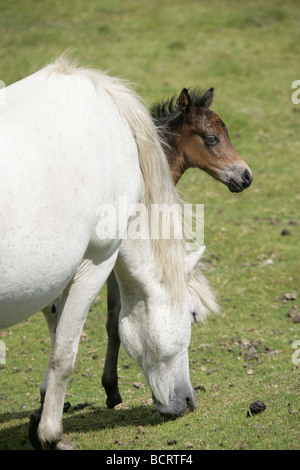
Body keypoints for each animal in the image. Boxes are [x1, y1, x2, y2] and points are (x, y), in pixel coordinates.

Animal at [0, 57, 218, 450]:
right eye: (192, 316)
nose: (188, 400)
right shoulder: (97, 260)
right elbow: (65, 351)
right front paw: (51, 433)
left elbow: (58, 330)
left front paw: (41, 412)